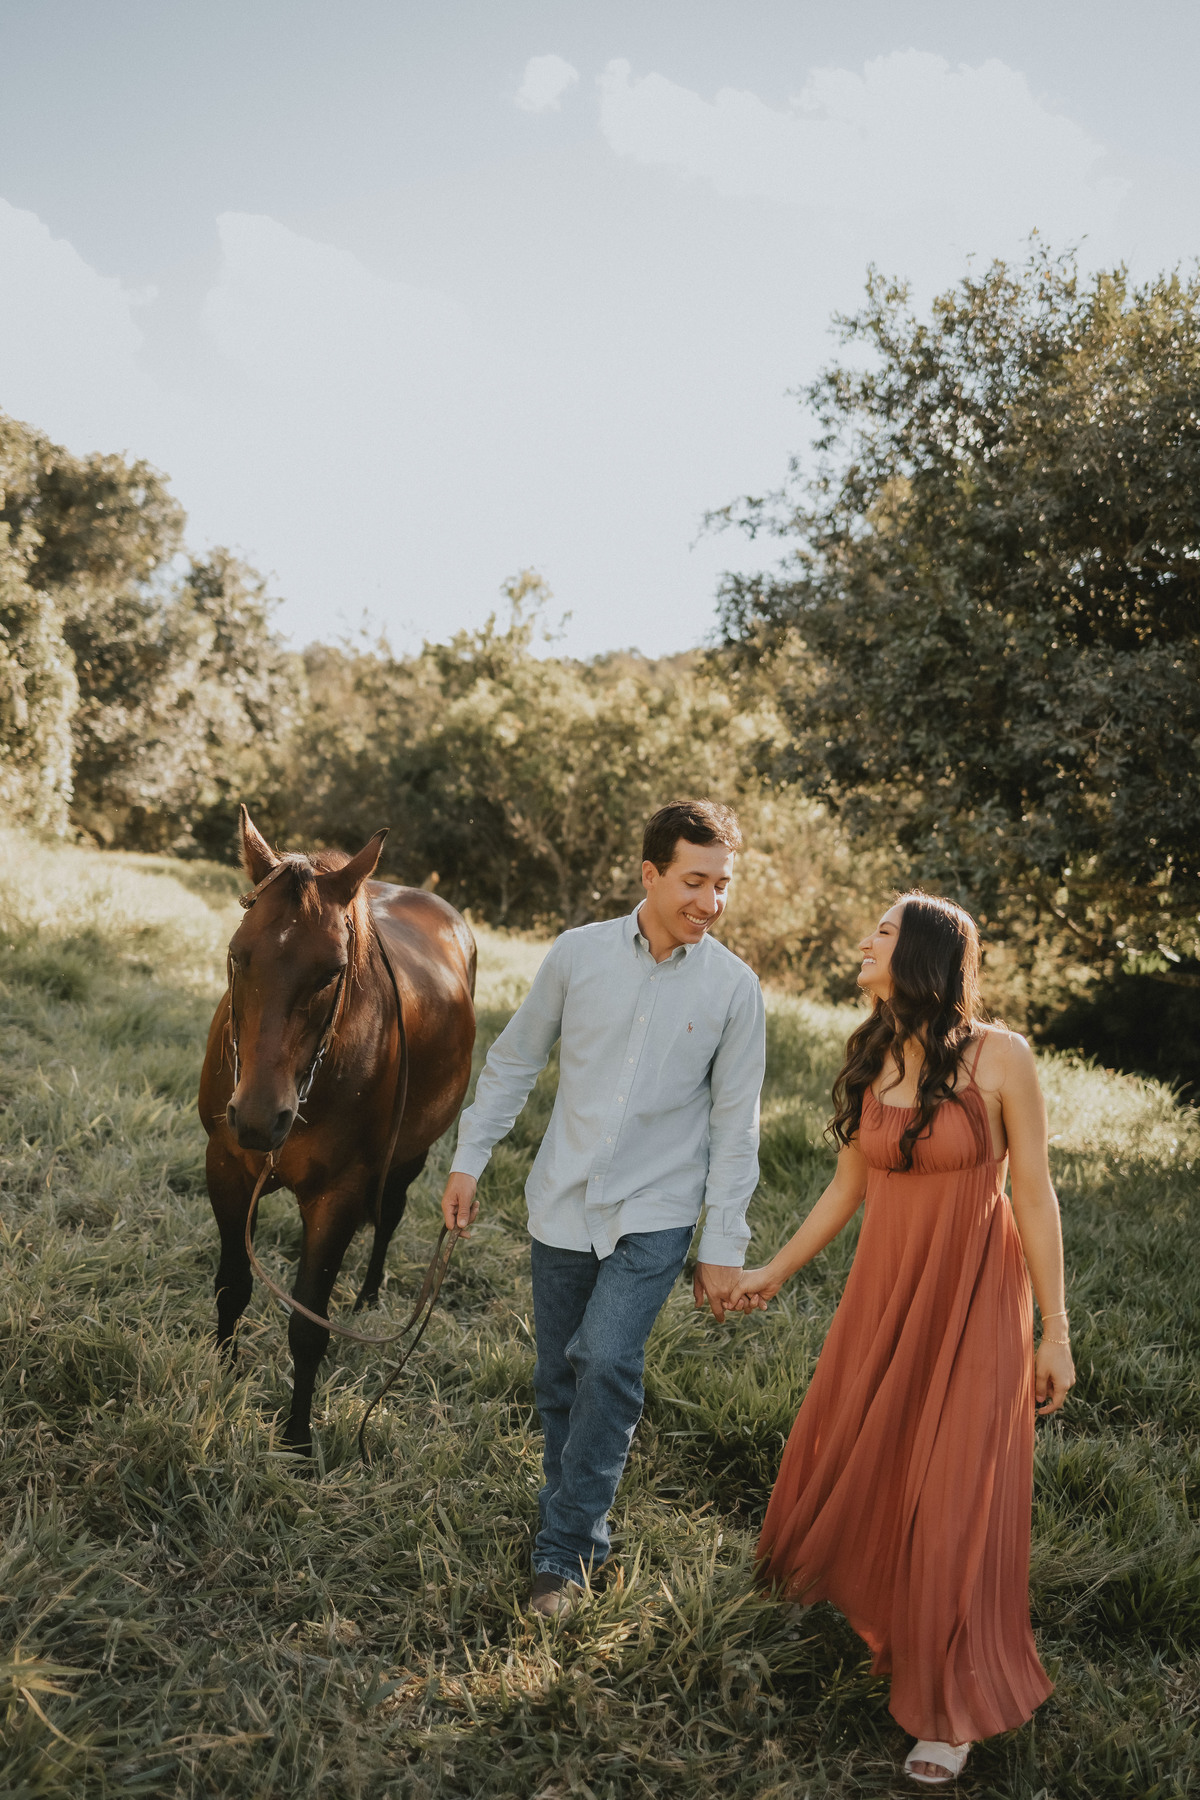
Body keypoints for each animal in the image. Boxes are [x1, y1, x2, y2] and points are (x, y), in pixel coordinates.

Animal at [197, 805, 476, 1454]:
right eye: (238, 954)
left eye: (332, 972)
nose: (258, 1117)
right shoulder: (226, 1167)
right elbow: (232, 1284)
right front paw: (223, 1371)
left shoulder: (339, 1196)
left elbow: (308, 1326)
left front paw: (298, 1438)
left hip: (410, 1156)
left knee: (391, 1215)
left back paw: (369, 1295)